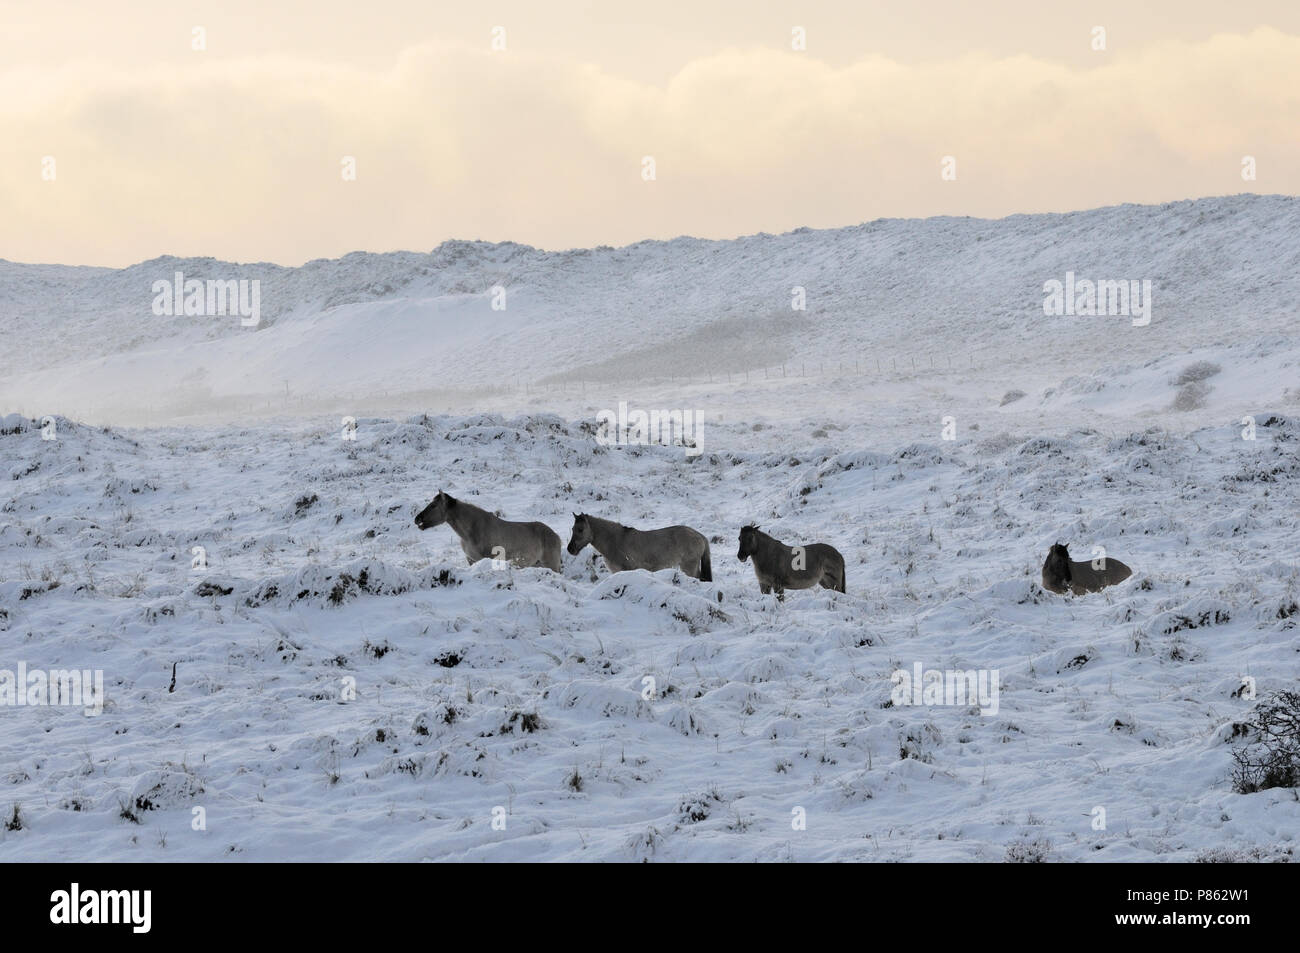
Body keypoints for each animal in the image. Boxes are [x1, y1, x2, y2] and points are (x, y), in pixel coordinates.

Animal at [413, 491, 561, 572]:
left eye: (433, 506)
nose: (417, 519)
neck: (471, 531)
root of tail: (556, 536)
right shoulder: (471, 560)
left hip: (550, 565)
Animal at [566, 512, 712, 579]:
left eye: (580, 530)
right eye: (572, 529)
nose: (570, 549)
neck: (616, 541)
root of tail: (700, 536)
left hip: (689, 567)